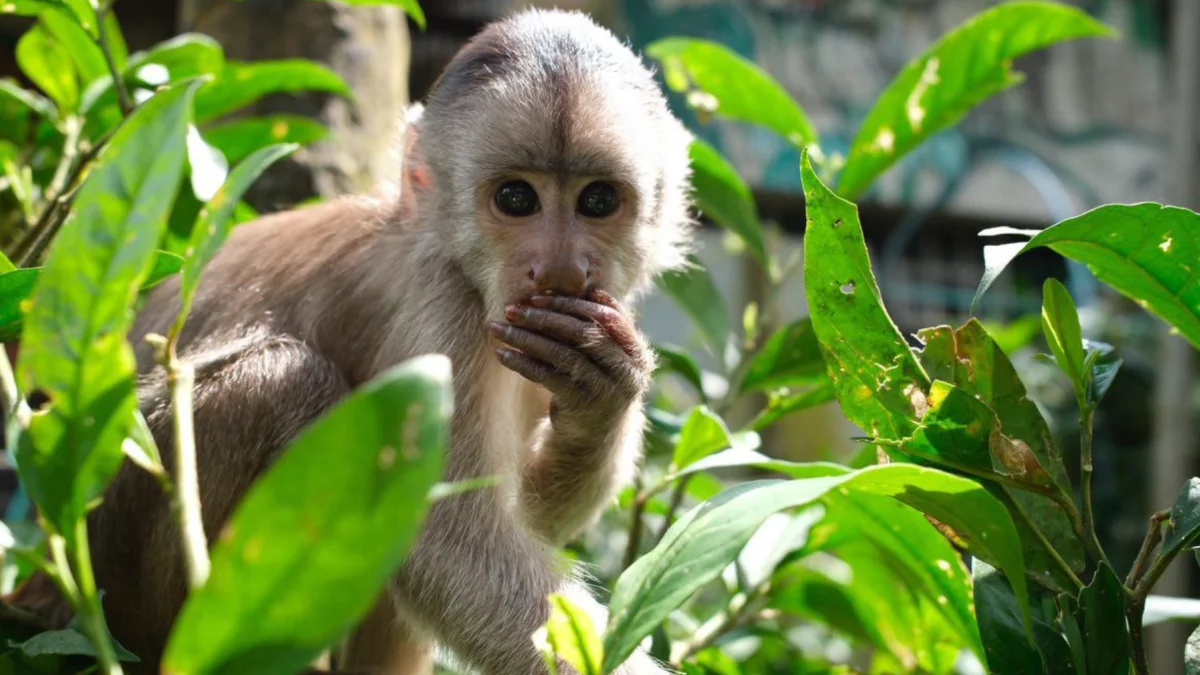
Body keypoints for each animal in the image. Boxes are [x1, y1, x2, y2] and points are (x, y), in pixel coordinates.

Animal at [7, 8, 694, 675]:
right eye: (515, 198)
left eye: (597, 200)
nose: (559, 269)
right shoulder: (438, 302)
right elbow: (443, 541)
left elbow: (533, 516)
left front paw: (600, 394)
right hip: (112, 551)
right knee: (287, 382)